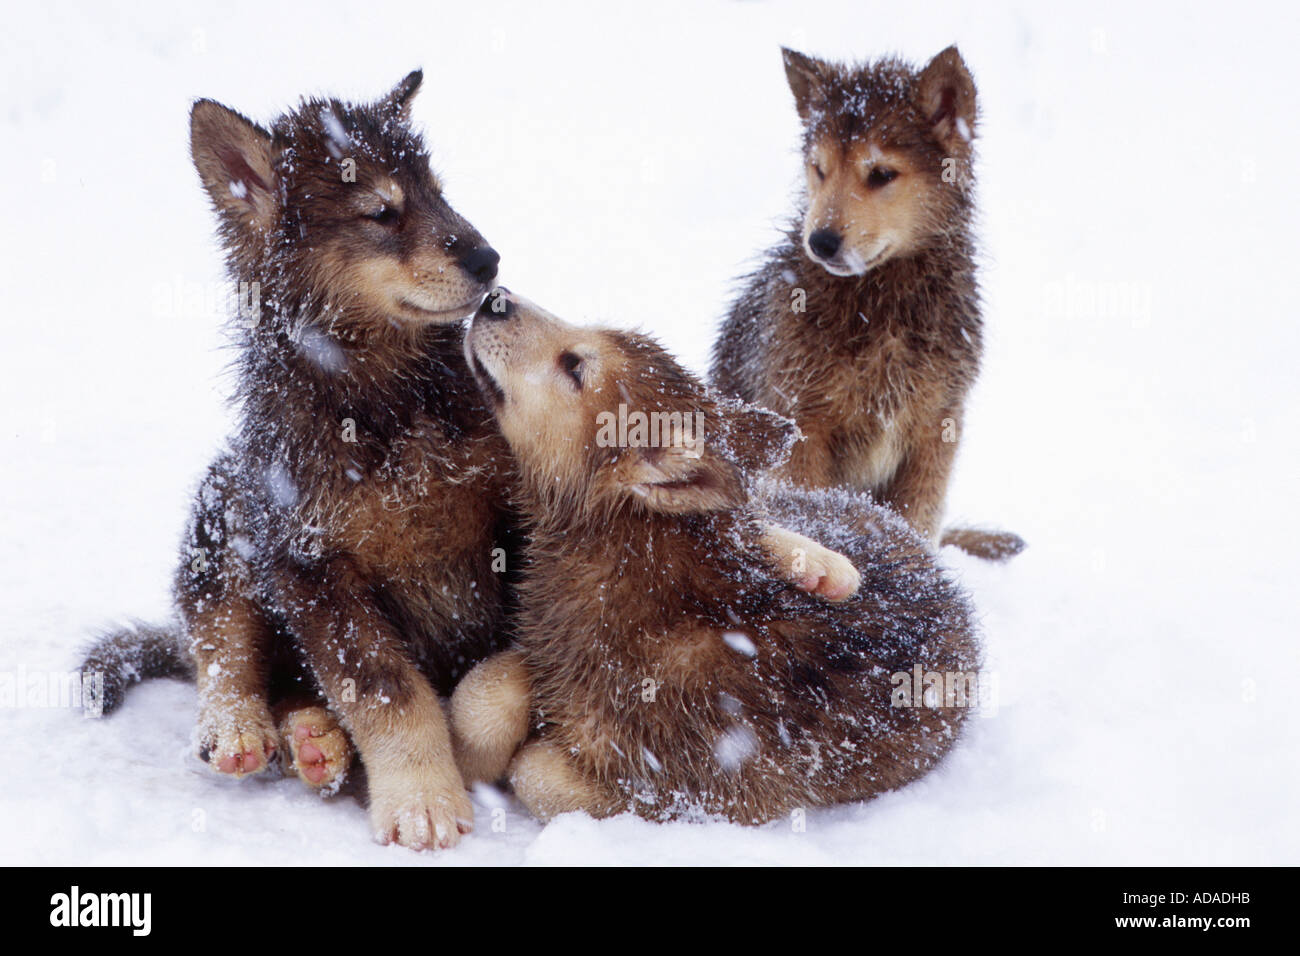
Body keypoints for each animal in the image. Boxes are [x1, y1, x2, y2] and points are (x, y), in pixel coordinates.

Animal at [712, 46, 1024, 561]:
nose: (820, 241)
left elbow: (916, 524)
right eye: (818, 169)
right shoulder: (804, 425)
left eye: (881, 174)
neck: (880, 302)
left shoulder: (936, 430)